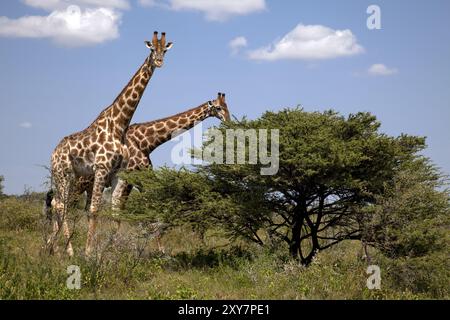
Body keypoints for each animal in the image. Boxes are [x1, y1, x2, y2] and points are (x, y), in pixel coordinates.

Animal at [48, 31, 172, 258]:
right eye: (151, 49)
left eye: (164, 50)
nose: (159, 61)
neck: (119, 123)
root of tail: (53, 152)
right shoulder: (101, 168)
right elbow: (94, 209)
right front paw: (89, 253)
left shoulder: (117, 173)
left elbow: (115, 211)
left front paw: (108, 251)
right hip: (63, 173)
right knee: (61, 204)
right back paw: (66, 250)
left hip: (73, 176)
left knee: (58, 203)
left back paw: (53, 247)